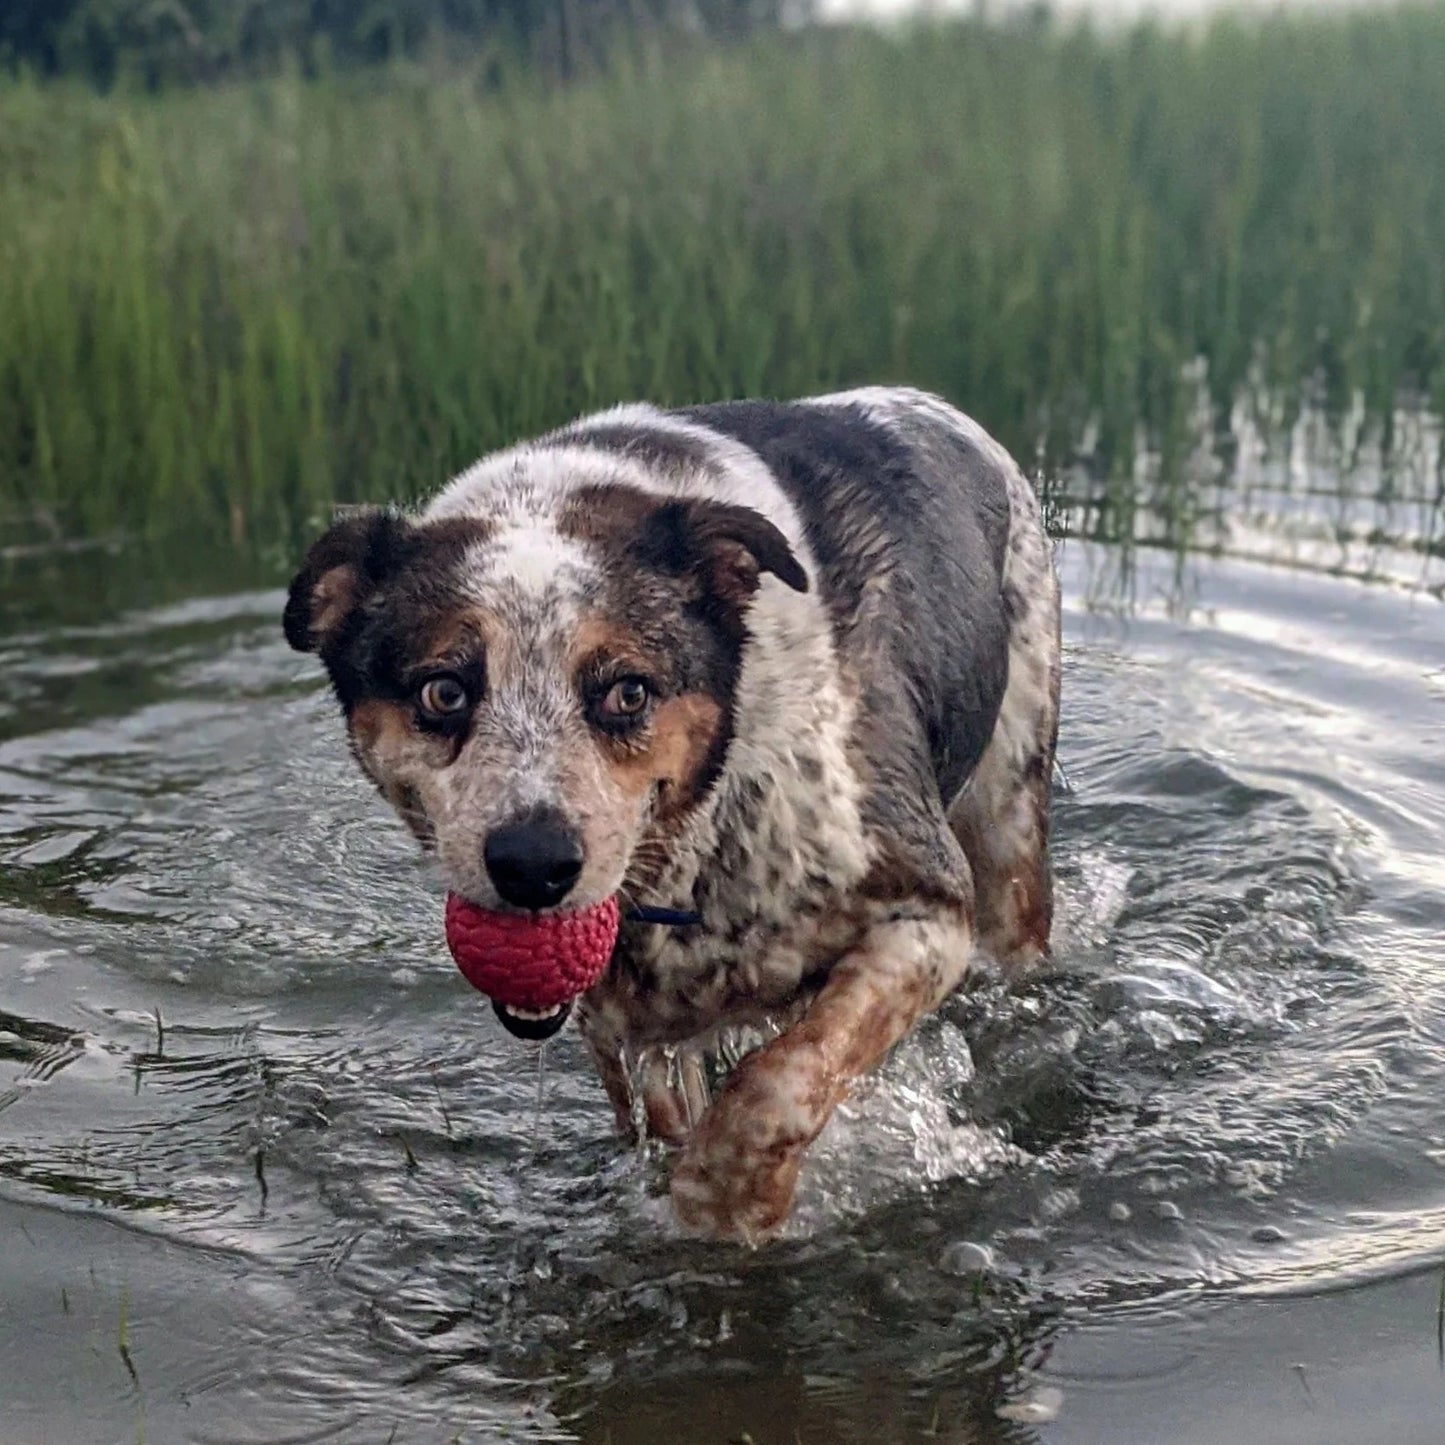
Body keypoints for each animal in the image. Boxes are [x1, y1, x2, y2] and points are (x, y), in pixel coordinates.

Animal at [281, 387, 1063, 1242]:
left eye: (628, 690)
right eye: (444, 690)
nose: (533, 863)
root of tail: (924, 400)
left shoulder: (925, 909)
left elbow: (780, 1077)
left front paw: (726, 1200)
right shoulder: (630, 1026)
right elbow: (667, 1109)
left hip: (1011, 813)